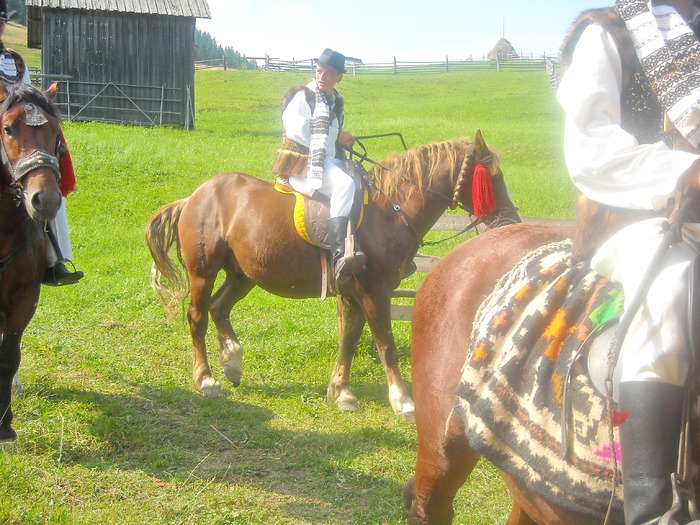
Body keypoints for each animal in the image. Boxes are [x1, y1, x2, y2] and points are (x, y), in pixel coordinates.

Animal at [146, 131, 520, 418]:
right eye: (494, 177)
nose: (511, 221)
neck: (390, 210)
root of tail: (195, 196)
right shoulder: (375, 291)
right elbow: (386, 346)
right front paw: (402, 400)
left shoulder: (355, 293)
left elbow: (350, 341)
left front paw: (341, 391)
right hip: (203, 272)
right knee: (197, 317)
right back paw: (206, 379)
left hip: (243, 275)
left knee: (219, 308)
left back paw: (233, 361)